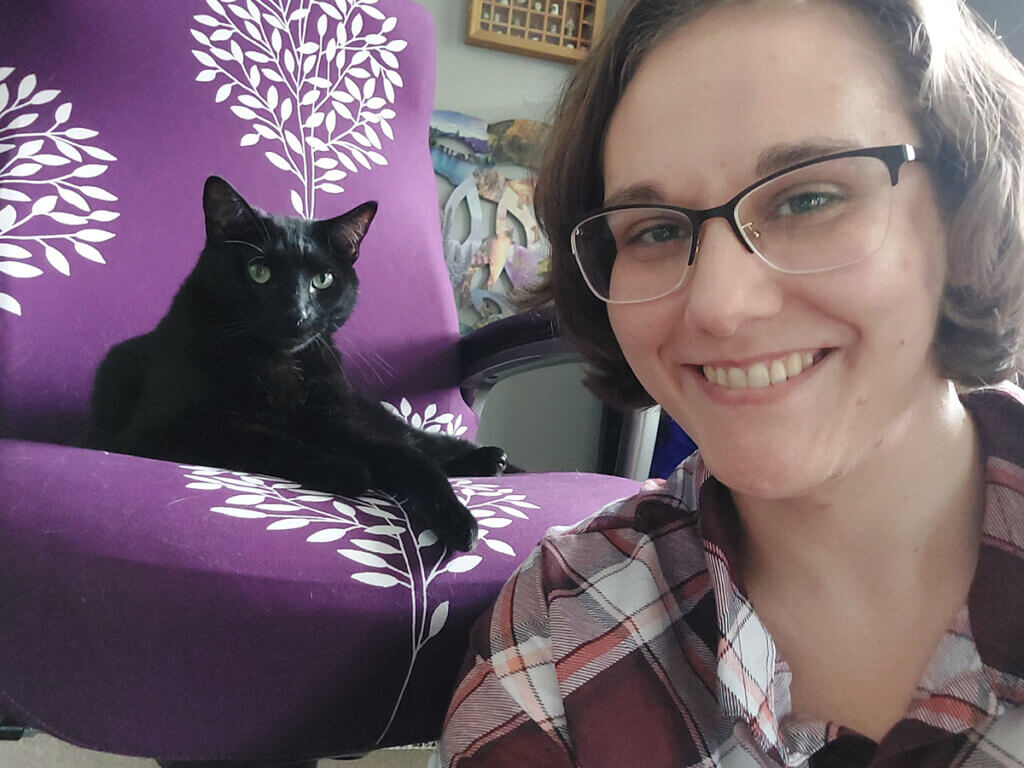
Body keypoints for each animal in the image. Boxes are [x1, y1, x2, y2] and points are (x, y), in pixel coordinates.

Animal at [86, 176, 509, 552]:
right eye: (259, 272)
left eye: (322, 280)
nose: (297, 314)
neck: (277, 366)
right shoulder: (167, 429)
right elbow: (265, 440)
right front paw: (343, 467)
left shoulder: (337, 419)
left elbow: (409, 458)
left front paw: (457, 519)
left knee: (420, 441)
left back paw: (491, 458)